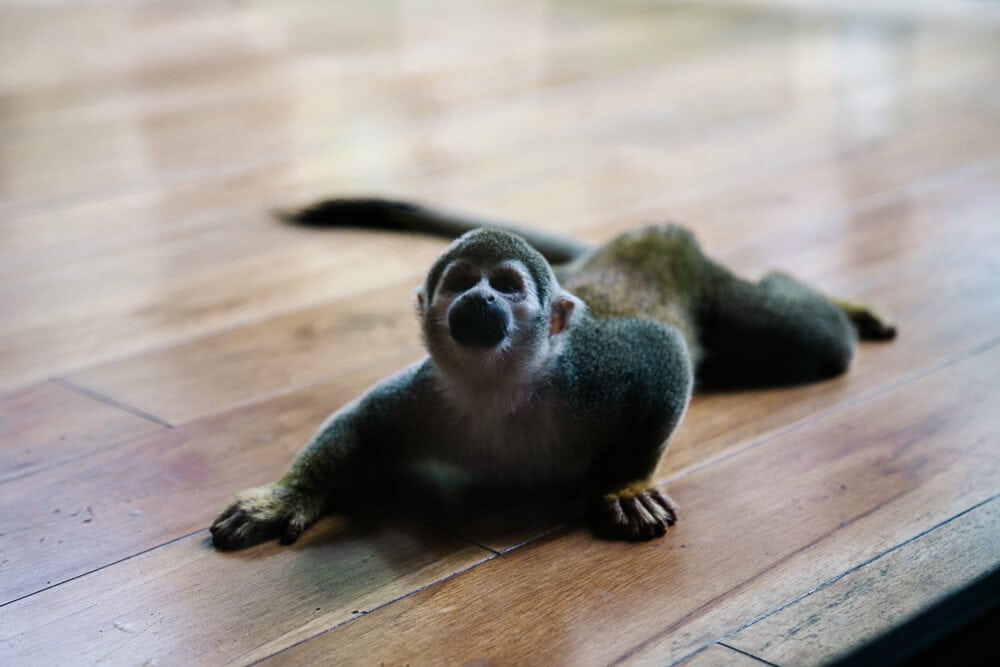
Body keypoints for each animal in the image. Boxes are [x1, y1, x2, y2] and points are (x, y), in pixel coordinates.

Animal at [207, 197, 896, 548]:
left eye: (508, 287)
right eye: (460, 283)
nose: (479, 299)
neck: (500, 389)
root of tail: (645, 238)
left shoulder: (591, 373)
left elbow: (663, 352)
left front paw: (626, 485)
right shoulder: (431, 393)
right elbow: (365, 421)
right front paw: (285, 497)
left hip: (709, 284)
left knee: (817, 340)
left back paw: (839, 308)